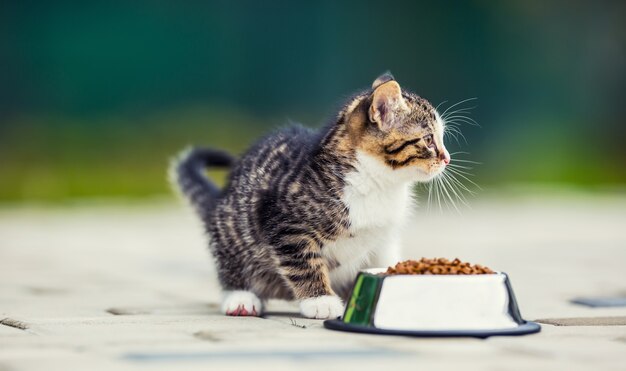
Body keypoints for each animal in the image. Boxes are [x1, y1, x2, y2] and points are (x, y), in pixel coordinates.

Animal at [171, 72, 448, 320]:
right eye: (428, 139)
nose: (446, 158)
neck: (379, 183)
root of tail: (219, 202)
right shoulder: (284, 224)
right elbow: (304, 263)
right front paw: (320, 300)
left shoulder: (383, 236)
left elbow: (383, 258)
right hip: (233, 229)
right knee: (232, 267)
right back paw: (240, 298)